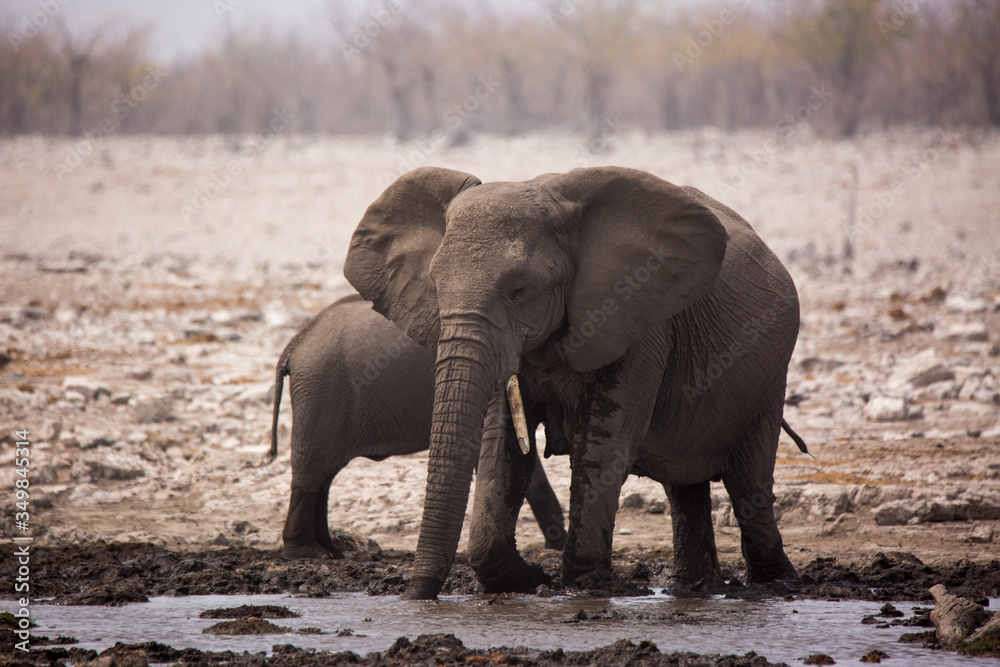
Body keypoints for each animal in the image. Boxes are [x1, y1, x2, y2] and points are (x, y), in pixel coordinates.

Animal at [272, 294, 572, 560]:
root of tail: (293, 345)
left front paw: (558, 547)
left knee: (324, 475)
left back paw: (333, 552)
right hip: (320, 392)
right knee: (313, 472)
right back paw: (312, 554)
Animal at [344, 163, 804, 600]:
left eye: (519, 290)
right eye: (436, 286)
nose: (416, 597)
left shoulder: (636, 318)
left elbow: (604, 446)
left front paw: (580, 587)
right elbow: (502, 448)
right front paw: (528, 580)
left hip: (769, 377)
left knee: (748, 483)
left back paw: (775, 586)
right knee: (685, 486)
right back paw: (693, 589)